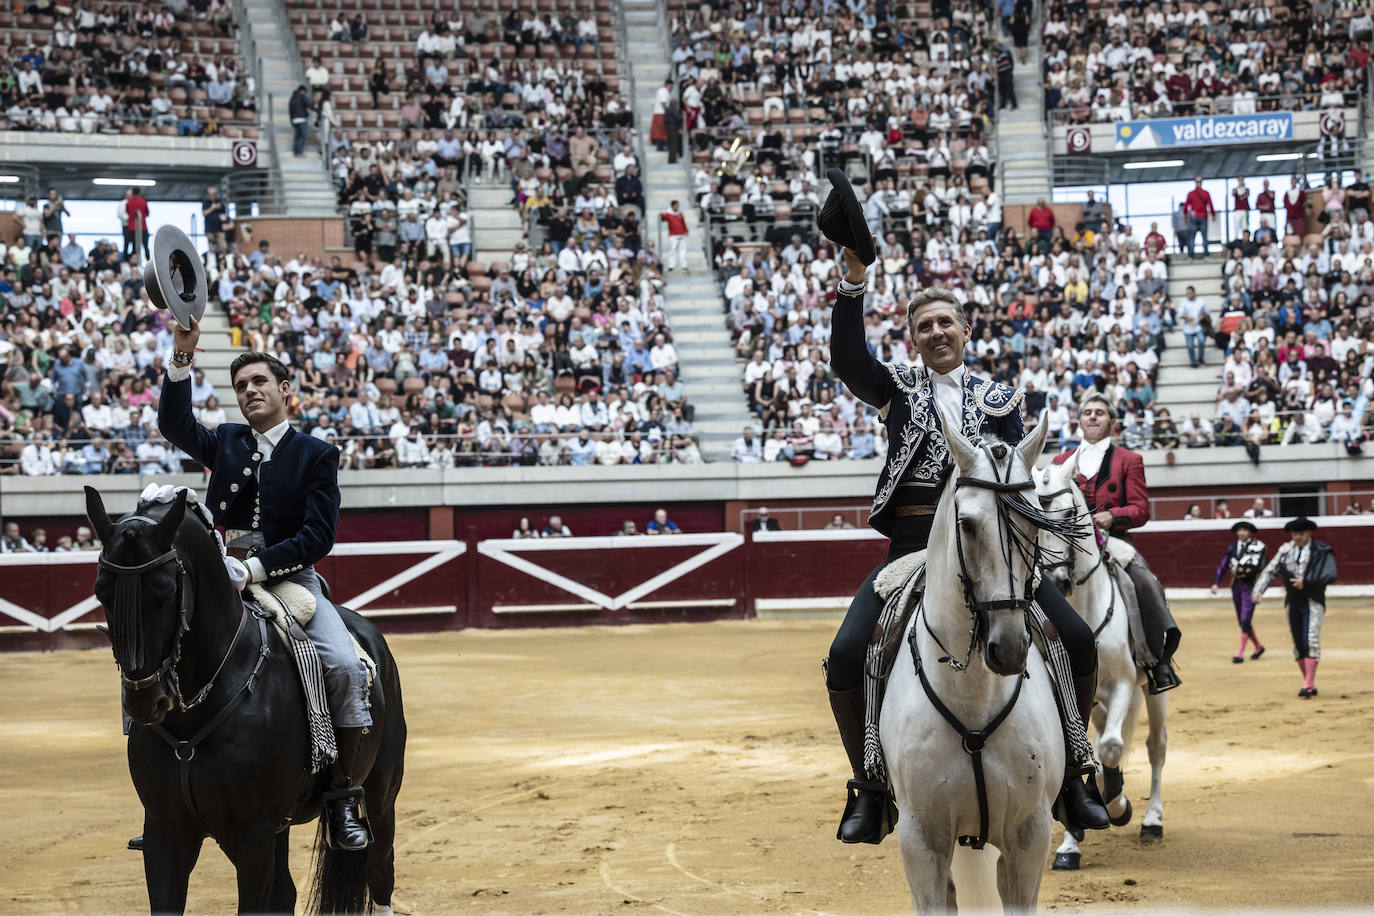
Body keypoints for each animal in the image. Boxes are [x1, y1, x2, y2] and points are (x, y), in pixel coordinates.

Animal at [85, 491, 403, 911]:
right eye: (100, 590)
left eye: (165, 591)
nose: (143, 701)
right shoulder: (165, 833)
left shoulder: (253, 837)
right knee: (287, 892)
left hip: (382, 798)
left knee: (380, 872)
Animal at [884, 420, 1066, 911]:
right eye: (967, 524)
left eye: (1036, 521)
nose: (1008, 649)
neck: (974, 694)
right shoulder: (920, 839)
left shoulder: (1029, 835)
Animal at [1033, 455, 1165, 873]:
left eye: (1070, 513)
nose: (1057, 580)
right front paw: (1070, 845)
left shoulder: (1122, 684)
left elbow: (1110, 747)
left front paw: (1118, 805)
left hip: (1154, 691)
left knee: (1155, 747)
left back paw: (1151, 821)